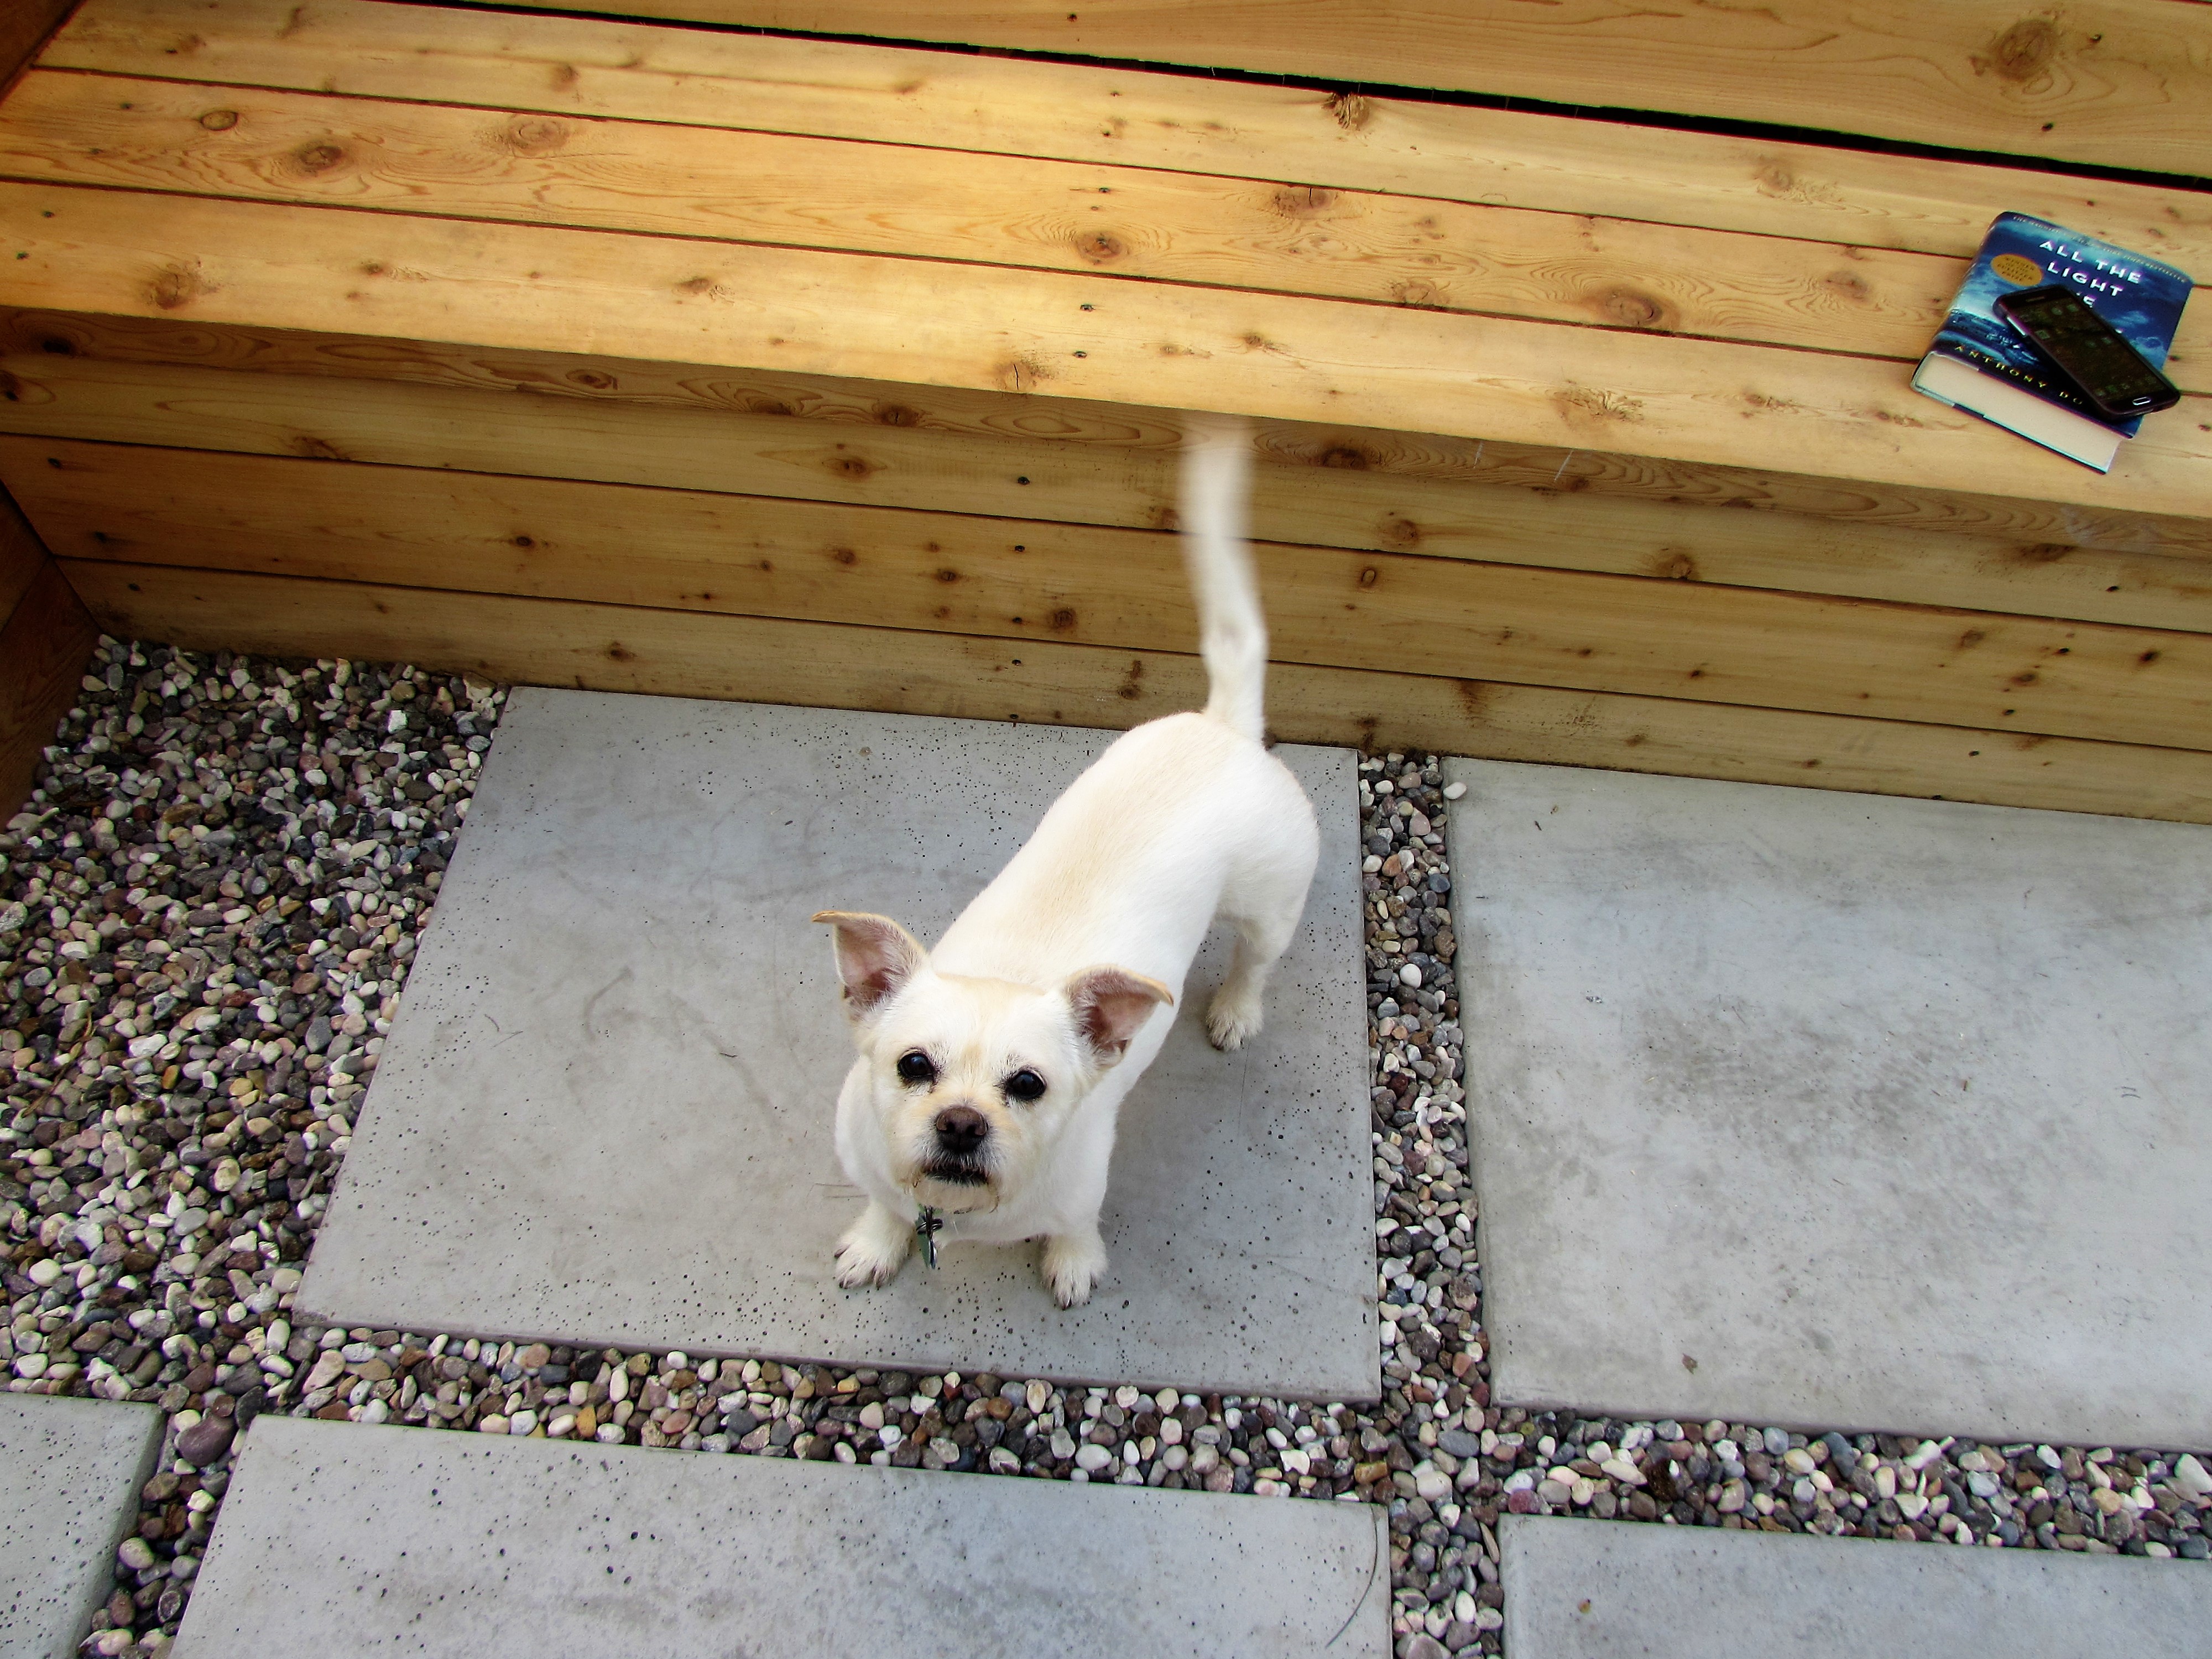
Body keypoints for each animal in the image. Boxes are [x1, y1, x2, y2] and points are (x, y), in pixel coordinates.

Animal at [814, 415, 1321, 1306]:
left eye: (1028, 1086)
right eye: (913, 1067)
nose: (960, 1122)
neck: (958, 1210)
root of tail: (1226, 724)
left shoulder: (1086, 1188)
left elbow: (1077, 1227)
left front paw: (1073, 1264)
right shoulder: (869, 1162)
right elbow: (881, 1202)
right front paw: (877, 1241)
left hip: (1271, 910)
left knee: (1254, 964)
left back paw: (1235, 1009)